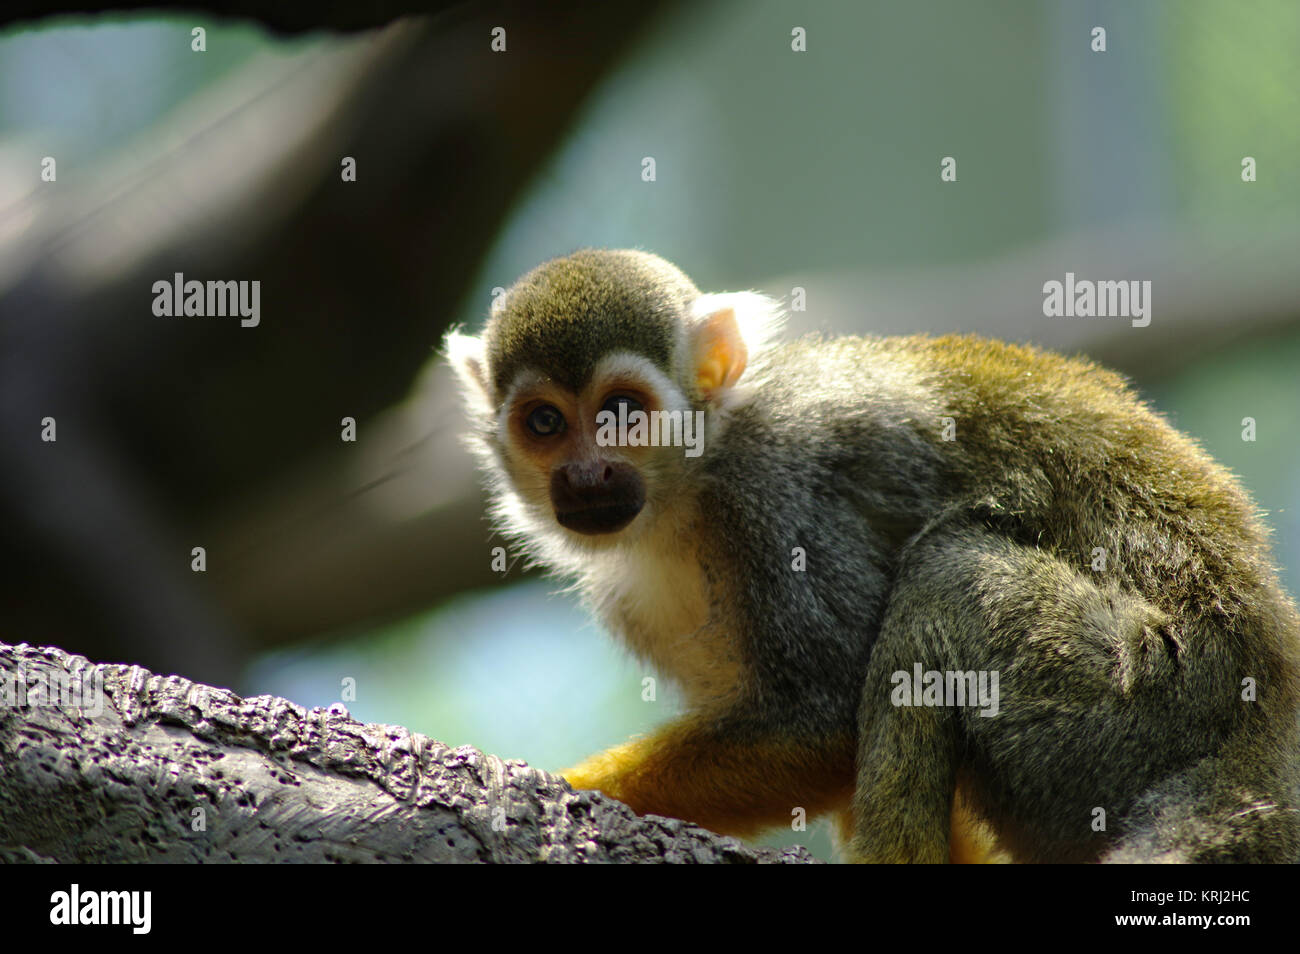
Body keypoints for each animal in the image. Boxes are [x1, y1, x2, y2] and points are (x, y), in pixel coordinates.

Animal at [444, 248, 1300, 868]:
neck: (689, 487)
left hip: (1145, 693)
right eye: (545, 422)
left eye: (622, 413)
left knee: (946, 571)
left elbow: (823, 723)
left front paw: (559, 784)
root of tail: (1265, 711)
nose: (587, 476)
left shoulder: (781, 501)